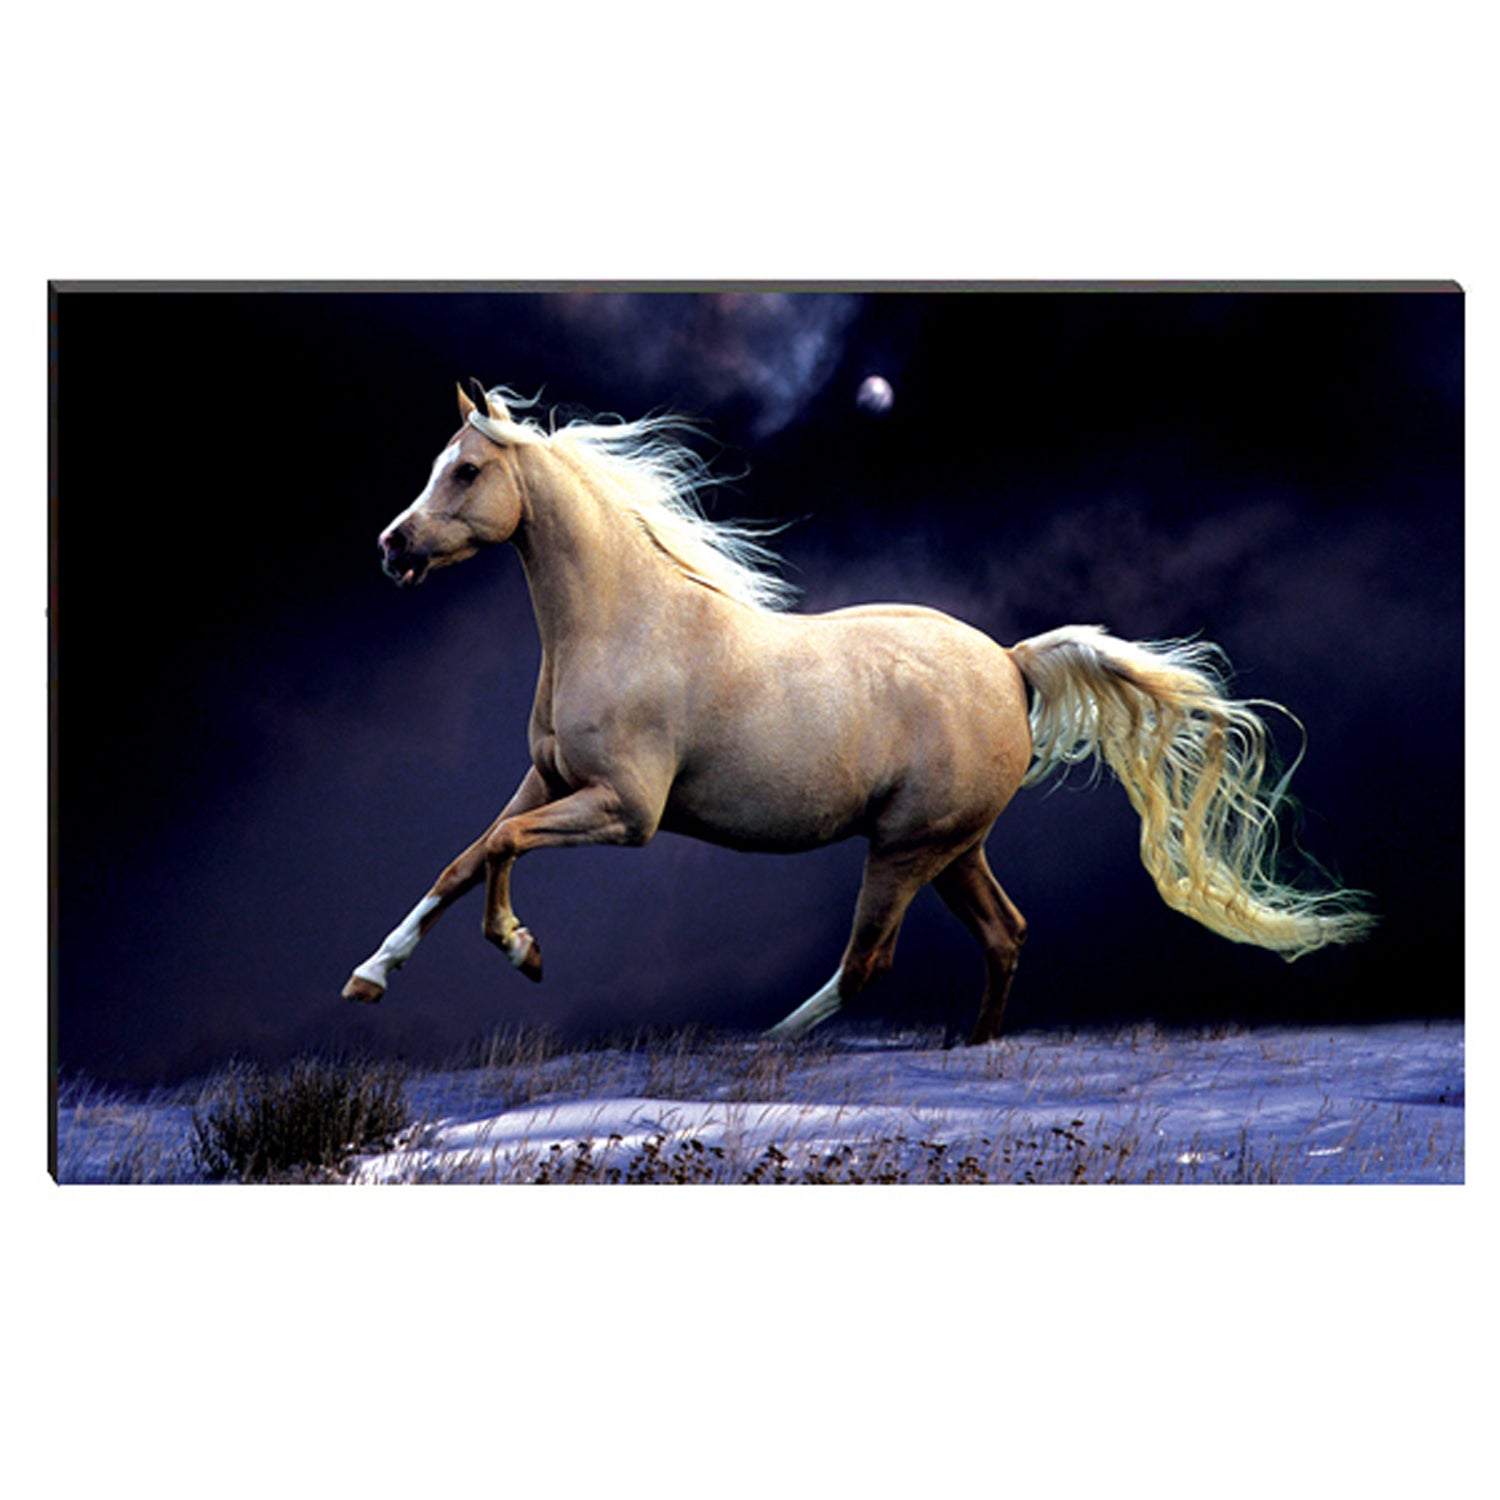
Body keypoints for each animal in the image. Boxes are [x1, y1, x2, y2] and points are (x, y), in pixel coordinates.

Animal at [342, 383, 1372, 1044]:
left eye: (466, 471)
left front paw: (523, 951)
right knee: (1006, 932)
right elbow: (466, 857)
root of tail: (1010, 664)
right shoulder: (546, 779)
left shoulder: (625, 812)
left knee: (869, 962)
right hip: (953, 848)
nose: (392, 548)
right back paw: (973, 1047)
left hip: (906, 849)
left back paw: (762, 1046)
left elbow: (501, 851)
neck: (627, 625)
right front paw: (370, 977)